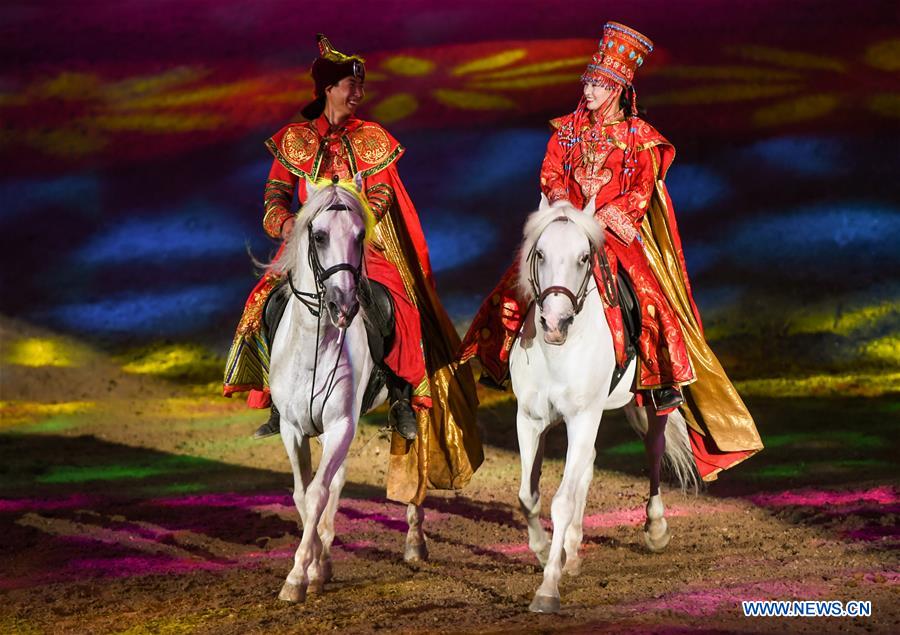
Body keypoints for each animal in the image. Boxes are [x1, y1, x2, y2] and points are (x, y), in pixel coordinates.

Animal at [268, 176, 428, 604]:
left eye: (360, 235)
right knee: (335, 482)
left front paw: (296, 577)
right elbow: (303, 494)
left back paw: (415, 541)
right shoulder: (293, 429)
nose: (343, 304)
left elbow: (316, 494)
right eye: (319, 236)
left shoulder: (341, 423)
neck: (314, 346)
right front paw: (316, 567)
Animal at [506, 196, 696, 612]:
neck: (560, 351)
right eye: (540, 253)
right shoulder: (530, 419)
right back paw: (573, 551)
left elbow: (562, 501)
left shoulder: (582, 417)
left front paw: (548, 589)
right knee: (587, 468)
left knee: (653, 448)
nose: (554, 324)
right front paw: (545, 551)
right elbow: (528, 496)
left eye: (583, 257)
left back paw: (655, 528)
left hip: (648, 404)